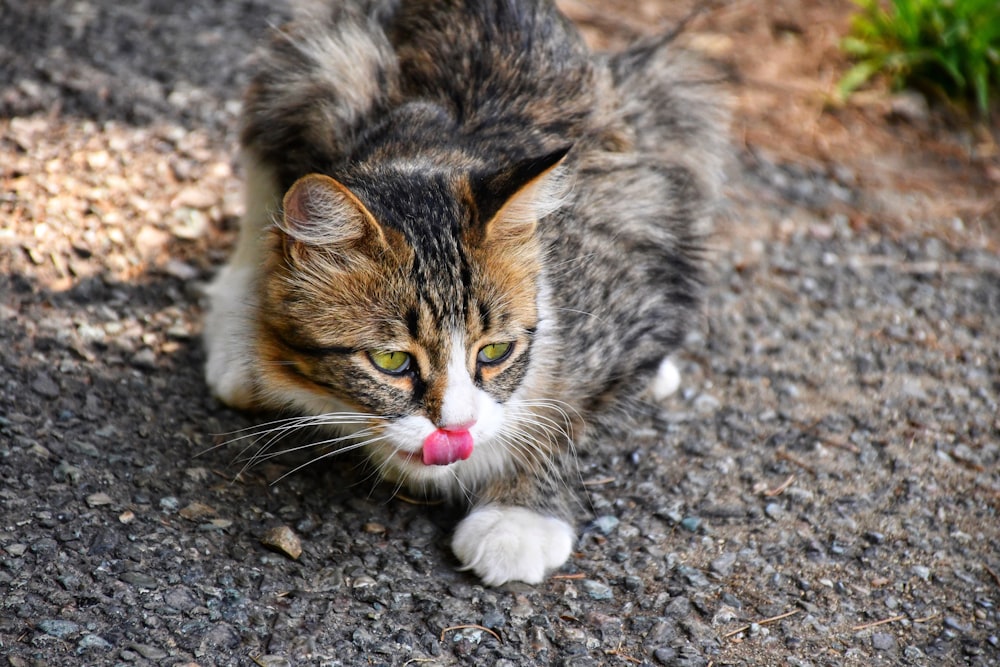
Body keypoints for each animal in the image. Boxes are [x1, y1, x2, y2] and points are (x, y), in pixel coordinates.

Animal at [205, 0, 728, 584]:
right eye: (391, 361)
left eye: (495, 351)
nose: (457, 428)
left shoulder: (643, 257)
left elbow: (575, 417)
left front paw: (519, 517)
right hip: (317, 61)